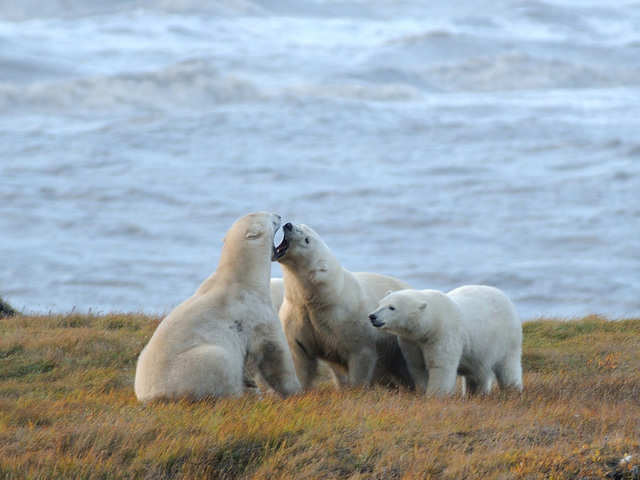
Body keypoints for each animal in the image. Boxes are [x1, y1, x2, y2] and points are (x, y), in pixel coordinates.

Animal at [133, 211, 302, 402]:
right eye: (269, 218)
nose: (279, 215)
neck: (242, 278)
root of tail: (150, 396)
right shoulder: (255, 310)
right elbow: (274, 351)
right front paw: (295, 391)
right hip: (197, 364)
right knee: (221, 362)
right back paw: (244, 394)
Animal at [276, 221, 416, 390]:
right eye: (301, 225)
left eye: (306, 239)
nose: (288, 225)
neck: (322, 297)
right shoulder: (297, 313)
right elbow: (299, 354)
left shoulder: (348, 321)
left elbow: (361, 355)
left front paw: (356, 390)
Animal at [368, 286, 524, 396]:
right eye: (380, 303)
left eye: (392, 307)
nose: (372, 316)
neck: (432, 322)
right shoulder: (411, 342)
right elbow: (417, 366)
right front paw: (422, 390)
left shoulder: (443, 334)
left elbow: (440, 365)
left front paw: (434, 396)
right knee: (478, 372)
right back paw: (475, 393)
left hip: (506, 338)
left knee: (508, 366)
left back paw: (512, 390)